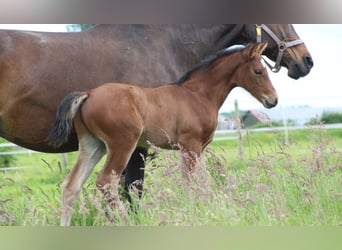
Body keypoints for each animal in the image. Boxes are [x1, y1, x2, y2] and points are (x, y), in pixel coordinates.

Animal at [48, 42, 278, 226]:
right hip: (121, 144)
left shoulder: (201, 148)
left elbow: (204, 182)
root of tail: (88, 94)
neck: (198, 95)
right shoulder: (189, 145)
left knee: (71, 185)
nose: (273, 100)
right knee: (105, 182)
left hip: (93, 145)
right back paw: (125, 221)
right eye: (258, 71)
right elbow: (190, 183)